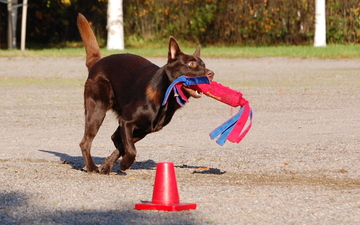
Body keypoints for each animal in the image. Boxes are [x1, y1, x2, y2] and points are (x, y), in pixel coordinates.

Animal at [77, 13, 214, 173]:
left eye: (204, 65)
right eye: (191, 64)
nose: (211, 74)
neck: (165, 98)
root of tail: (97, 63)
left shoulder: (142, 130)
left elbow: (124, 146)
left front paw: (109, 164)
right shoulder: (127, 122)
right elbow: (131, 149)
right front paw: (125, 163)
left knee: (114, 137)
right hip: (97, 111)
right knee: (85, 142)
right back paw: (92, 167)